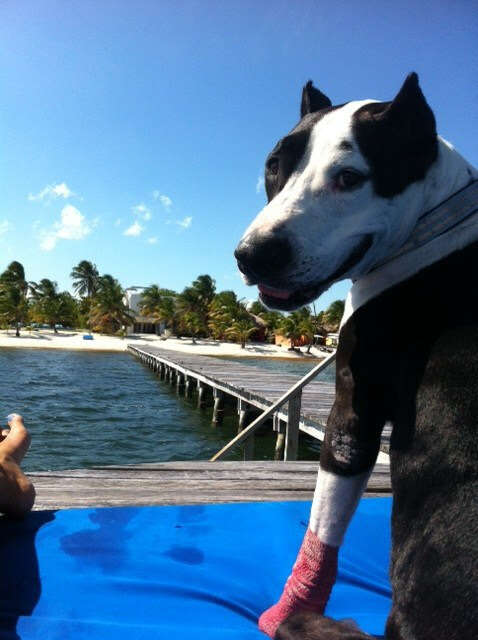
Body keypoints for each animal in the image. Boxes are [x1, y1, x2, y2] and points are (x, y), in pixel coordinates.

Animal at [235, 72, 478, 636]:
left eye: (349, 178)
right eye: (274, 165)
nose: (252, 255)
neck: (437, 221)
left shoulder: (351, 413)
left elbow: (324, 527)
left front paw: (284, 605)